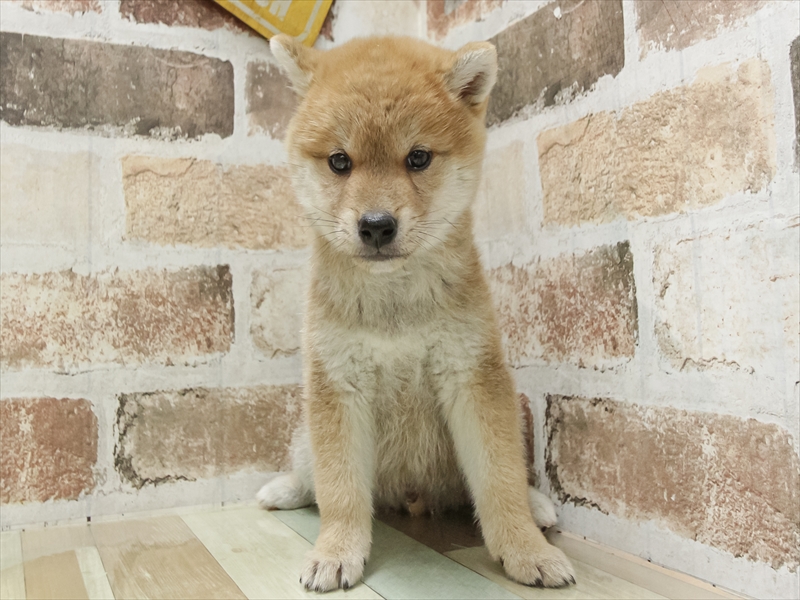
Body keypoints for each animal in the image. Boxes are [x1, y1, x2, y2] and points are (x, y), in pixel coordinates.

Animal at [258, 34, 576, 592]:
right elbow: (340, 489)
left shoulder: (471, 377)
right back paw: (286, 489)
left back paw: (537, 506)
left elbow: (499, 480)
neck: (394, 302)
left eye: (419, 157)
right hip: (307, 433)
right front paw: (336, 551)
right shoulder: (338, 384)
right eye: (339, 162)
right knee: (311, 471)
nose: (376, 225)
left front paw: (525, 550)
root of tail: (412, 495)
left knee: (493, 483)